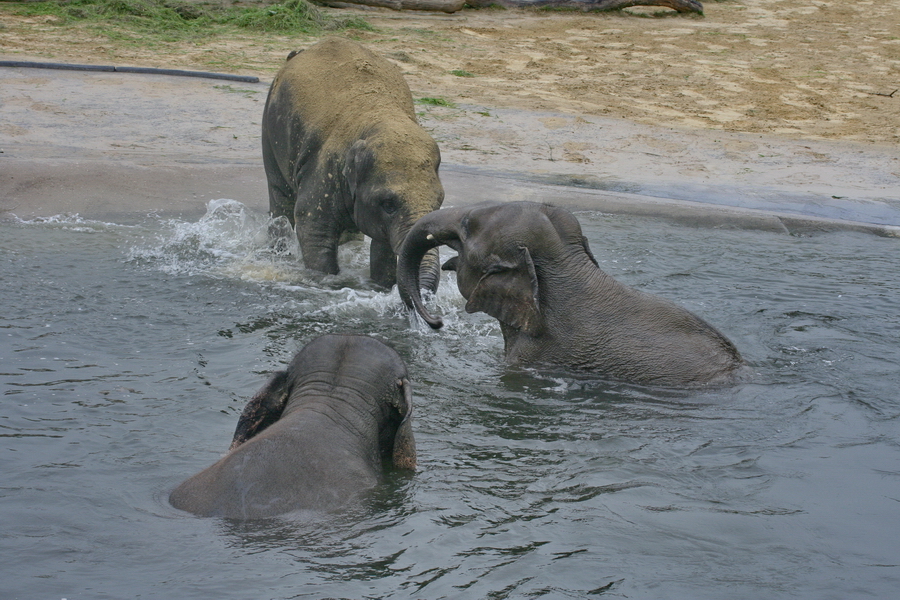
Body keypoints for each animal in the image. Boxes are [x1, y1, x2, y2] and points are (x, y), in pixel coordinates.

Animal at [260, 37, 442, 290]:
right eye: (389, 204)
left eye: (439, 203)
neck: (382, 117)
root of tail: (299, 52)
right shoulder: (324, 169)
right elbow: (313, 229)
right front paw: (327, 282)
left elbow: (382, 247)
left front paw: (381, 286)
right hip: (270, 125)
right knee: (280, 195)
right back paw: (279, 251)